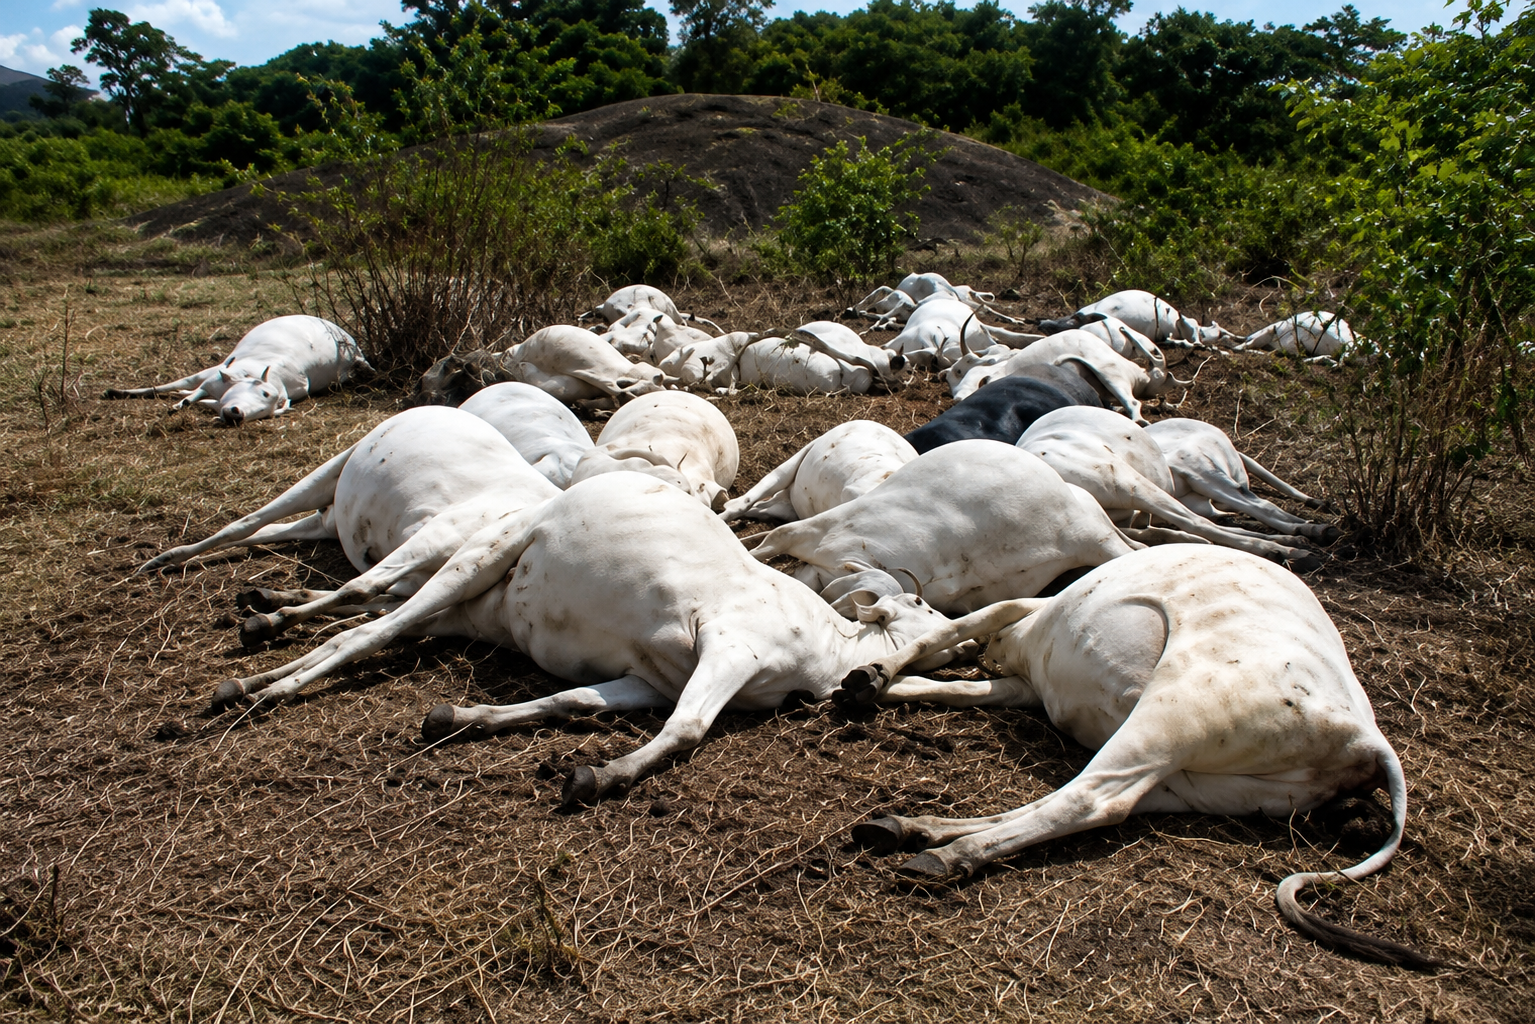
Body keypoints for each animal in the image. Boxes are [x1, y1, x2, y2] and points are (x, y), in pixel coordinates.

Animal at [104, 314, 373, 425]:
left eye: (266, 412)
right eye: (263, 394)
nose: (237, 414)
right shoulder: (211, 377)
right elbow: (182, 391)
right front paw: (179, 404)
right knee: (177, 385)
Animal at [205, 473, 964, 809]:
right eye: (921, 604)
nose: (963, 648)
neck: (828, 652)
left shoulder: (648, 678)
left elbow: (568, 702)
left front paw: (462, 716)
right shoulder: (728, 645)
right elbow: (686, 730)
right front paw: (601, 775)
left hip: (469, 610)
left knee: (369, 616)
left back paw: (259, 642)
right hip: (478, 554)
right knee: (368, 622)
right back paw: (256, 686)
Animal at [835, 544, 1435, 968]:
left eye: (917, 600)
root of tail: (1365, 738)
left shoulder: (1023, 613)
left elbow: (955, 628)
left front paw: (871, 677)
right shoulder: (1026, 685)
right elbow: (958, 686)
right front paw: (881, 686)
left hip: (1172, 713)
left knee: (1090, 800)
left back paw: (945, 854)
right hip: (1199, 782)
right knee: (1101, 802)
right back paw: (914, 827)